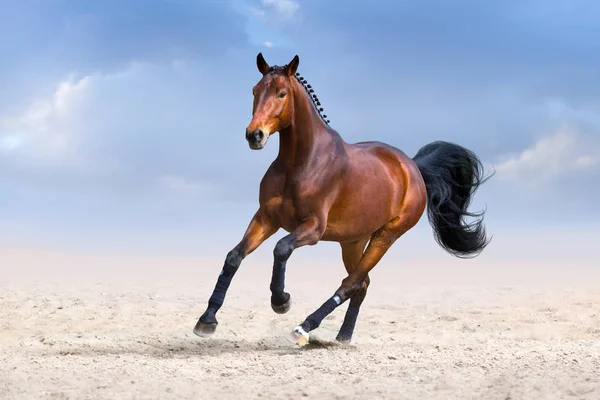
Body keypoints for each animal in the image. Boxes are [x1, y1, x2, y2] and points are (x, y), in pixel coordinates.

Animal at [193, 53, 492, 346]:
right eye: (255, 90)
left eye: (281, 93)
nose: (254, 135)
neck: (300, 163)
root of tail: (413, 167)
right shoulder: (266, 218)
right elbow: (234, 256)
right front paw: (207, 320)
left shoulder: (313, 228)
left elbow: (281, 248)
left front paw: (281, 301)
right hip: (353, 240)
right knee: (362, 284)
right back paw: (343, 337)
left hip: (386, 236)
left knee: (351, 283)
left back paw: (303, 328)